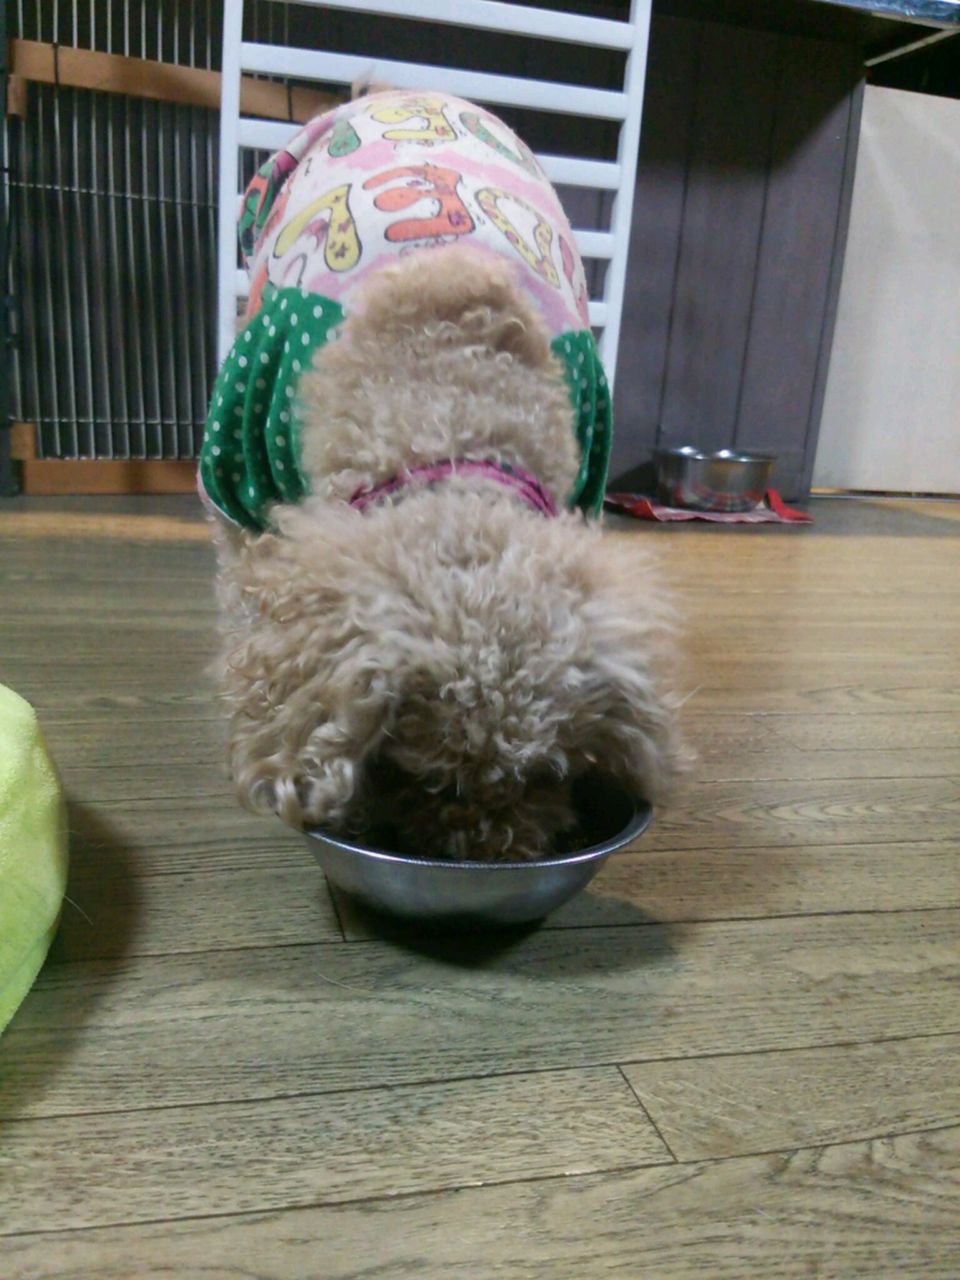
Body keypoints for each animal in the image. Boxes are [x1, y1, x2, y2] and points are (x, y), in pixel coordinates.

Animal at [200, 89, 683, 861]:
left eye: (543, 772)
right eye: (424, 776)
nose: (488, 850)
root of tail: (408, 91)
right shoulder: (239, 470)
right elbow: (244, 601)